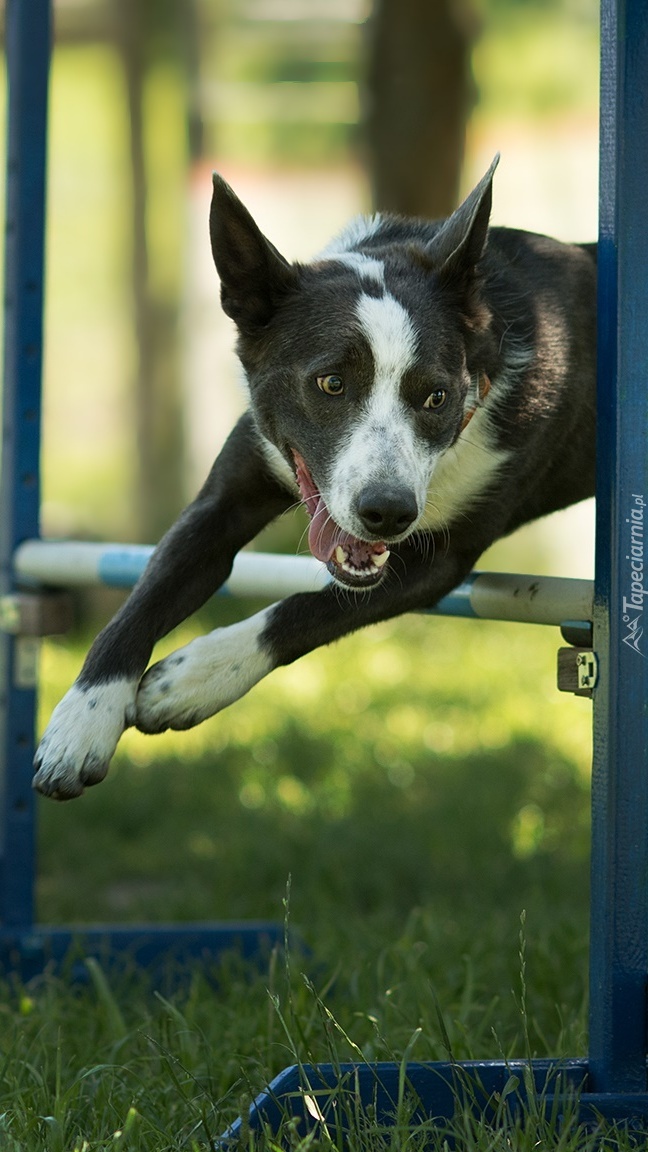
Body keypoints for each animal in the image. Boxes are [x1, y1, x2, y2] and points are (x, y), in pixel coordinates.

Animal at [31, 155, 594, 801]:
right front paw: (81, 724)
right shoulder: (225, 497)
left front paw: (192, 678)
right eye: (330, 383)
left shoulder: (443, 559)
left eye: (437, 396)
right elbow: (144, 597)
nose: (388, 511)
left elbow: (309, 608)